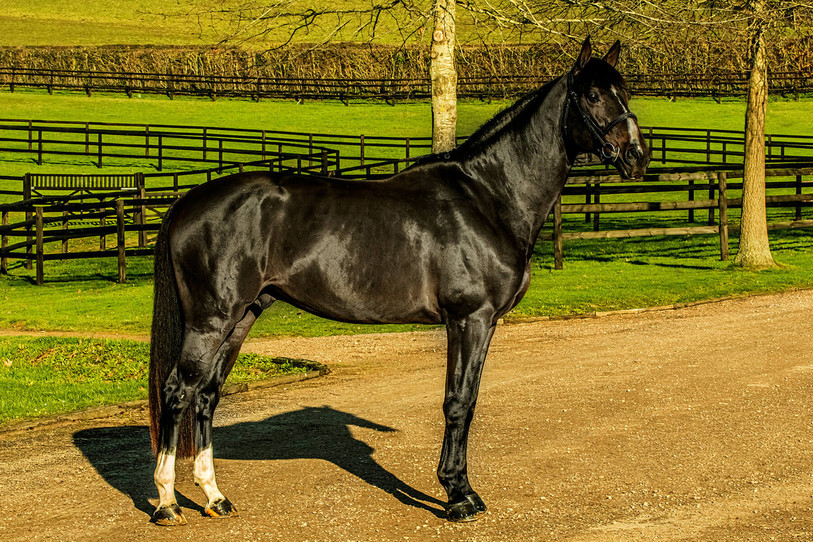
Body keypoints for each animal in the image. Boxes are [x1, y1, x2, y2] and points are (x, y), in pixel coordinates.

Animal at [148, 37, 649, 526]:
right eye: (592, 95)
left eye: (623, 91)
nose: (636, 157)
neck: (488, 196)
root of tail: (187, 202)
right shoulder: (469, 318)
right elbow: (458, 401)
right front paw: (458, 495)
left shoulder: (484, 323)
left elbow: (469, 399)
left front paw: (460, 489)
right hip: (210, 321)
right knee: (177, 392)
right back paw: (168, 503)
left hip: (243, 317)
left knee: (206, 395)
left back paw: (214, 497)